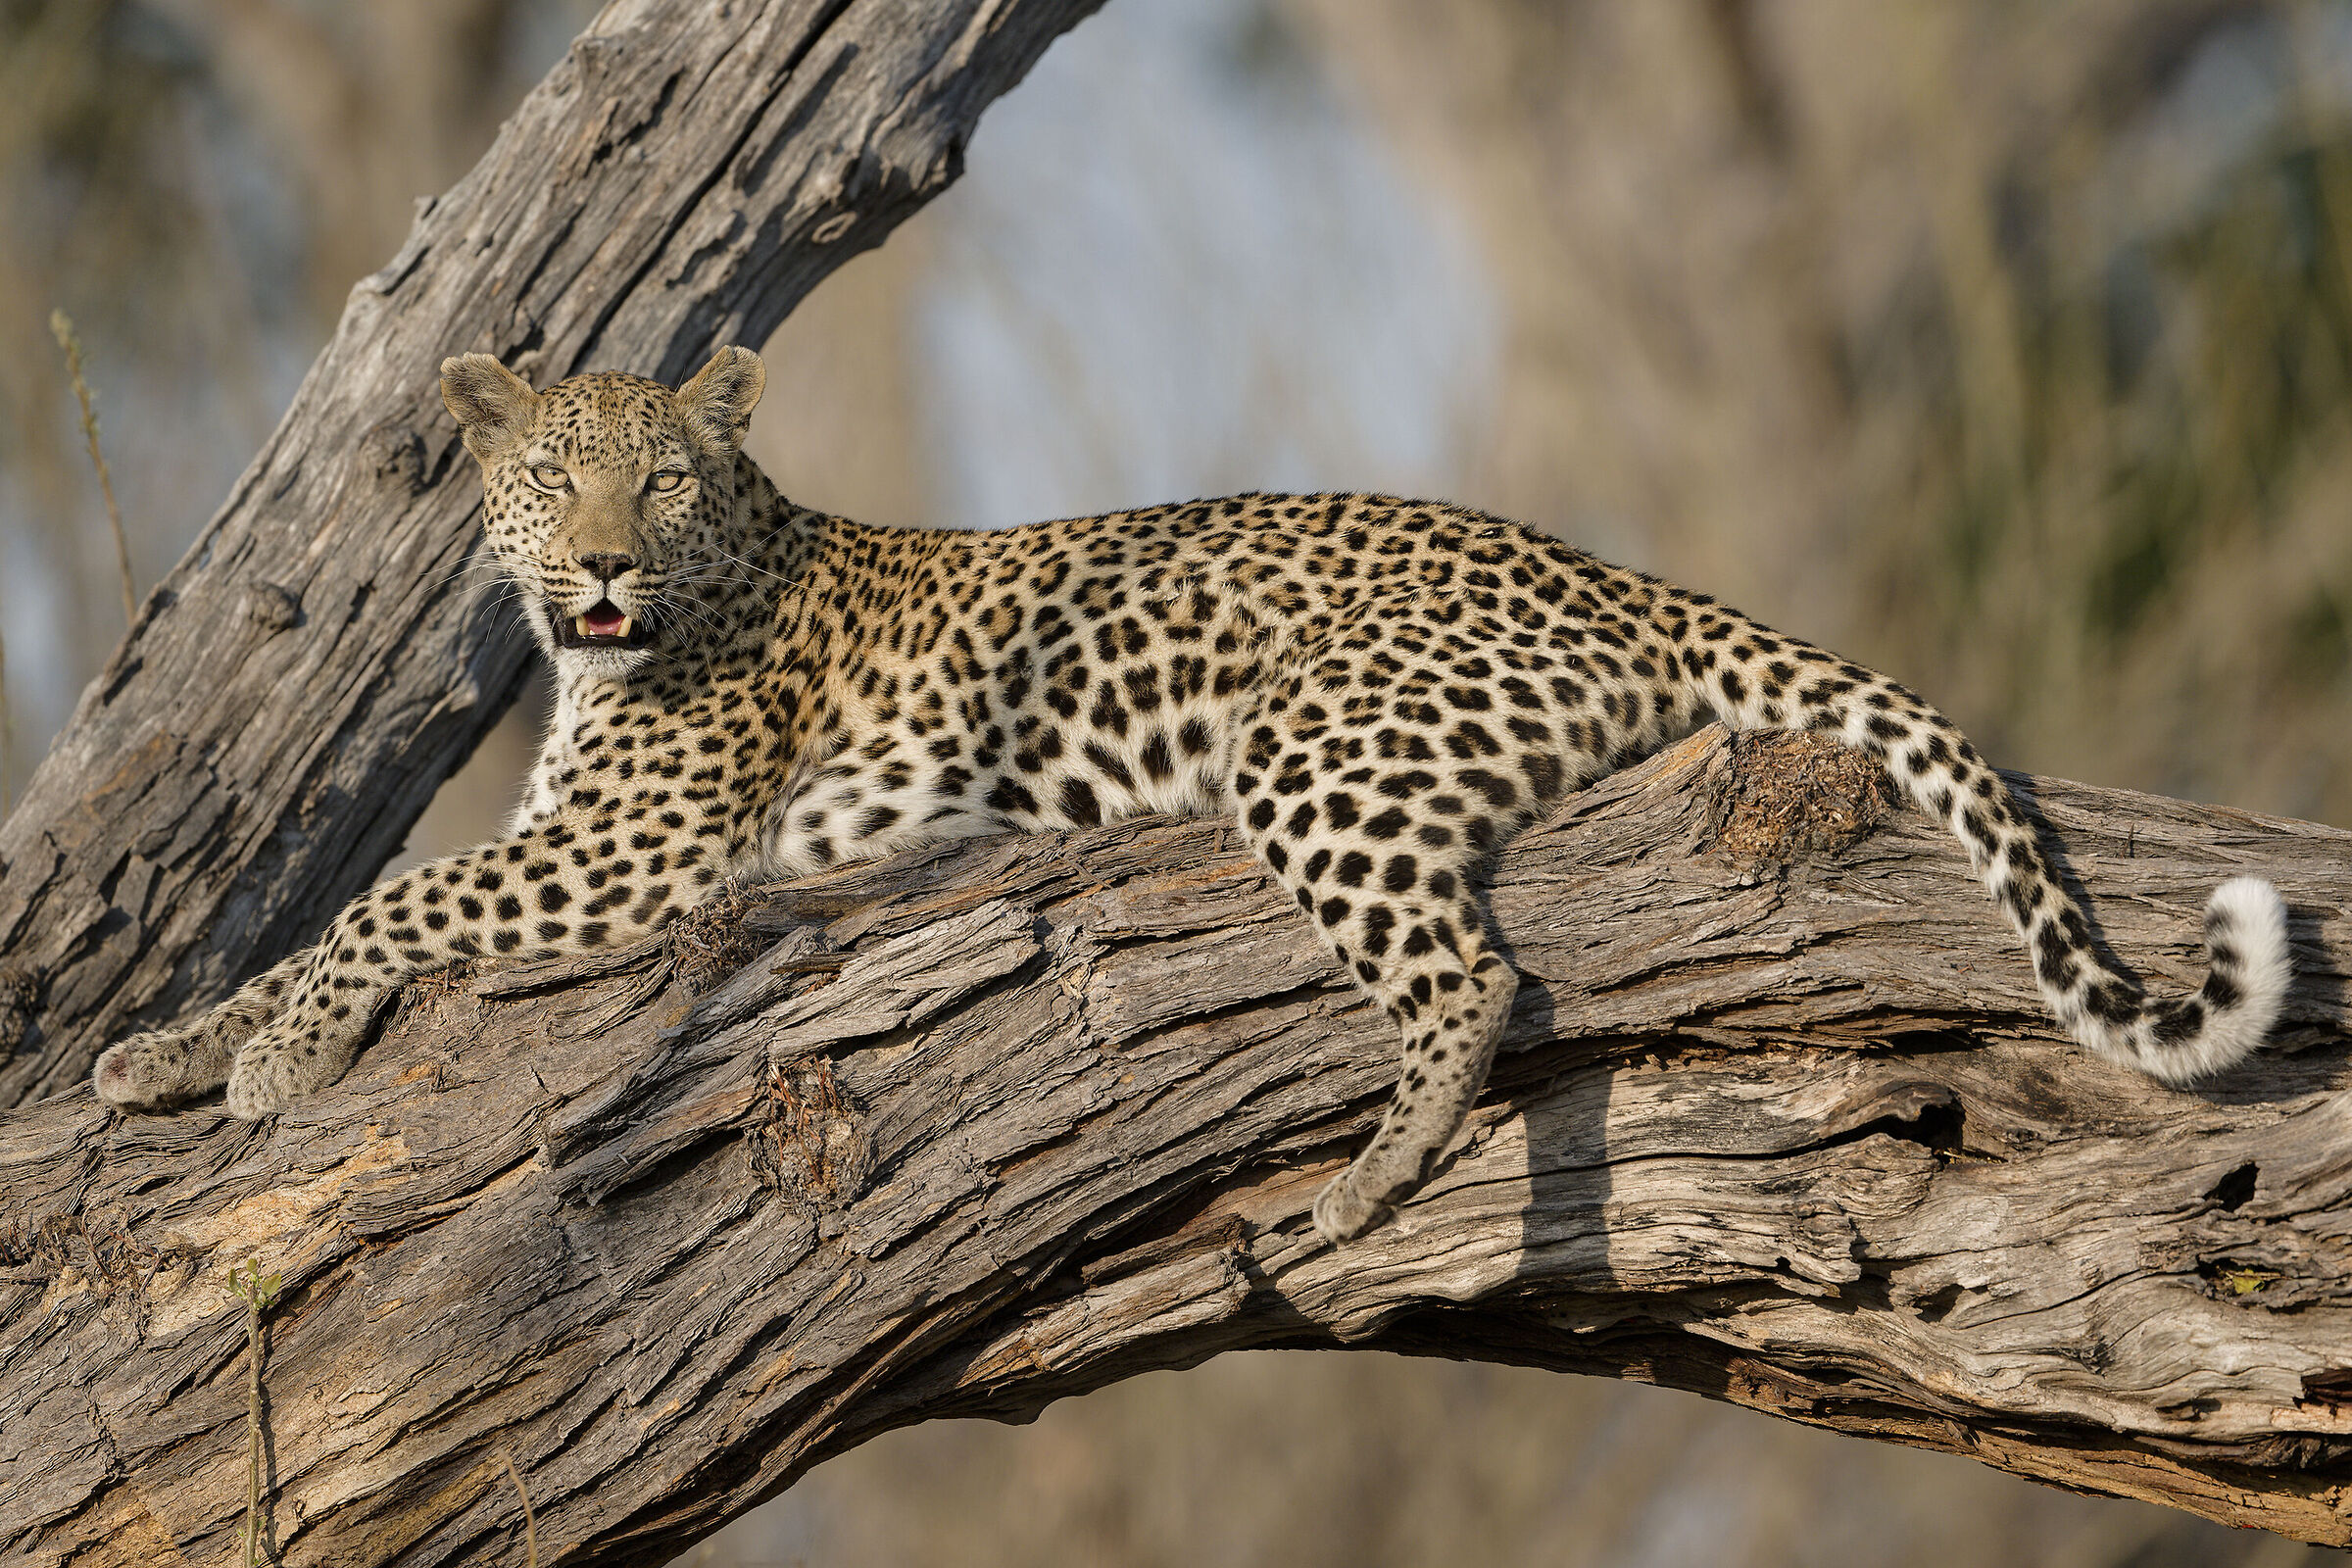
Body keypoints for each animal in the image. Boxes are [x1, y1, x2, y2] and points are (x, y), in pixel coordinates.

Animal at [93, 345, 2294, 1247]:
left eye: (671, 479)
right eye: (556, 479)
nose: (603, 569)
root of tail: (1600, 570)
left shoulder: (643, 852)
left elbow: (394, 897)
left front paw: (258, 1057)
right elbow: (374, 906)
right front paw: (170, 1053)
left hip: (1314, 752)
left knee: (1470, 983)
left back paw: (1369, 1186)